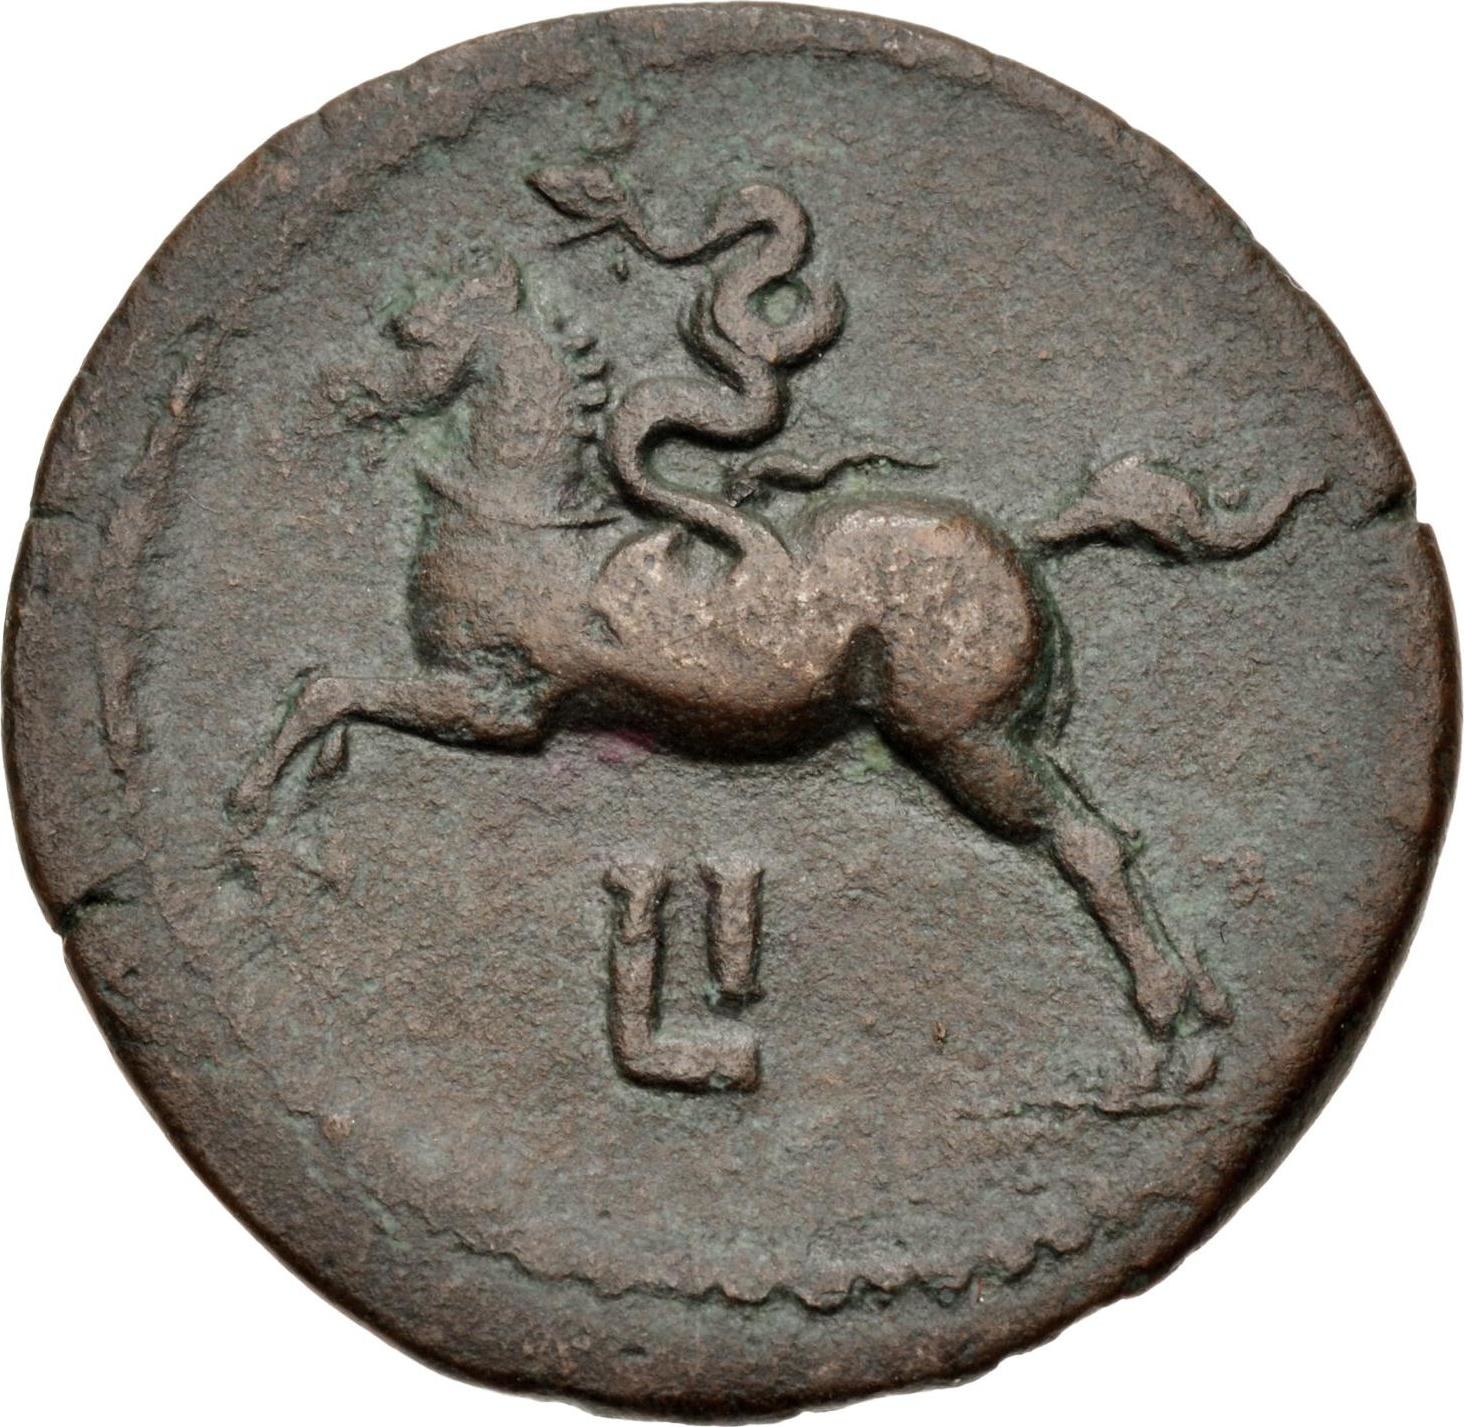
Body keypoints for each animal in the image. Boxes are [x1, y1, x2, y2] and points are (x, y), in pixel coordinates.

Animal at [232, 165, 1324, 1037]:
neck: (521, 516)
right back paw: (1195, 990)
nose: (344, 393)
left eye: (419, 337)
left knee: (1088, 841)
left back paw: (1165, 1003)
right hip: (1004, 732)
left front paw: (253, 806)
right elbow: (337, 688)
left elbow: (335, 685)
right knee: (1105, 830)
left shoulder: (504, 701)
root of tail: (1022, 539)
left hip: (964, 739)